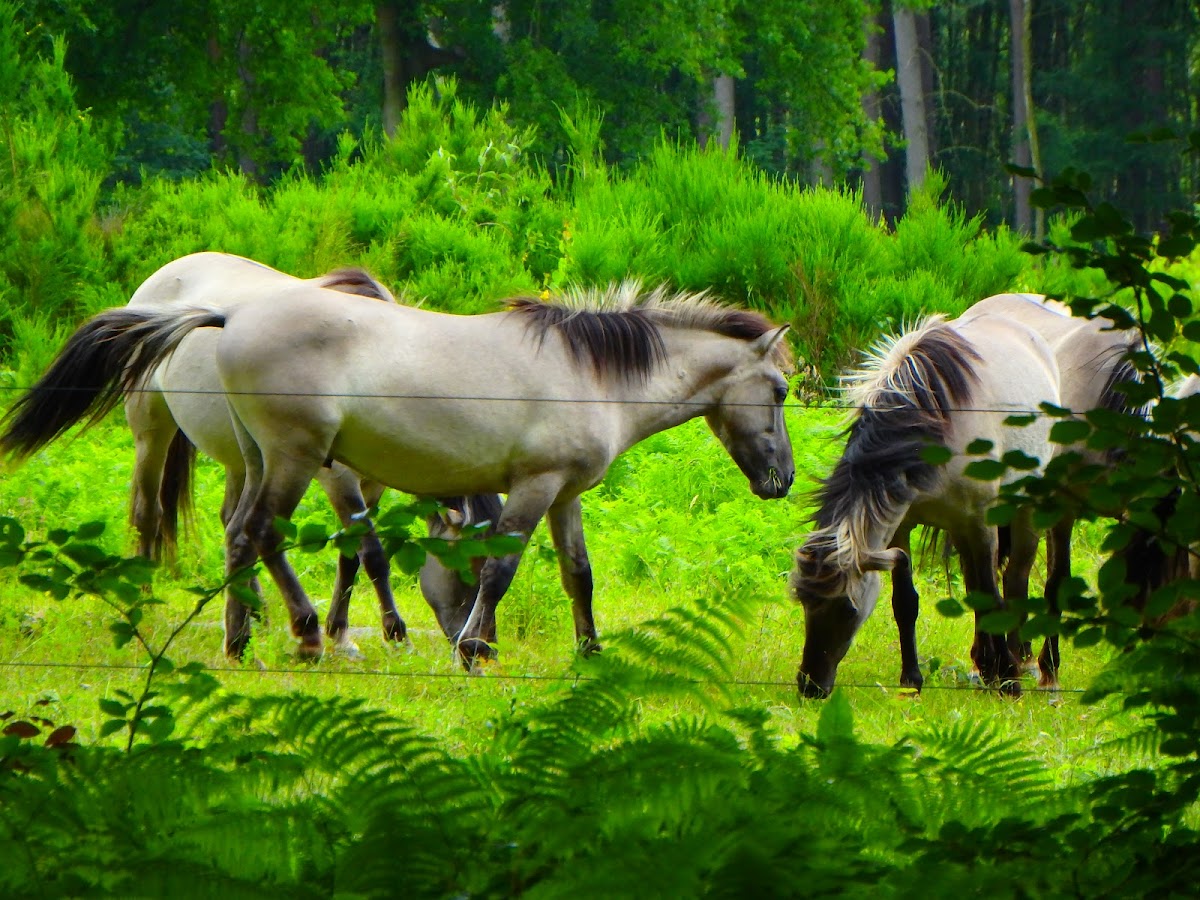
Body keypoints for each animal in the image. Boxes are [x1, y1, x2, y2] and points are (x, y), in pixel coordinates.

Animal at [7, 282, 796, 662]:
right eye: (783, 391)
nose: (781, 480)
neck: (589, 375)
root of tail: (228, 318)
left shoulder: (563, 493)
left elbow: (579, 574)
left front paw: (591, 653)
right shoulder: (534, 487)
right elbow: (499, 570)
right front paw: (474, 650)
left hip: (258, 459)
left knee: (237, 539)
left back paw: (240, 639)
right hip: (295, 459)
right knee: (265, 535)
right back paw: (305, 634)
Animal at [787, 309, 1060, 696]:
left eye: (848, 610)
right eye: (804, 601)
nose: (810, 685)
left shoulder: (980, 521)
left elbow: (991, 594)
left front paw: (1008, 679)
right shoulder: (902, 525)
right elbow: (906, 603)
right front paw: (911, 680)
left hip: (1022, 508)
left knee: (1015, 577)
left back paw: (1019, 660)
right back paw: (984, 662)